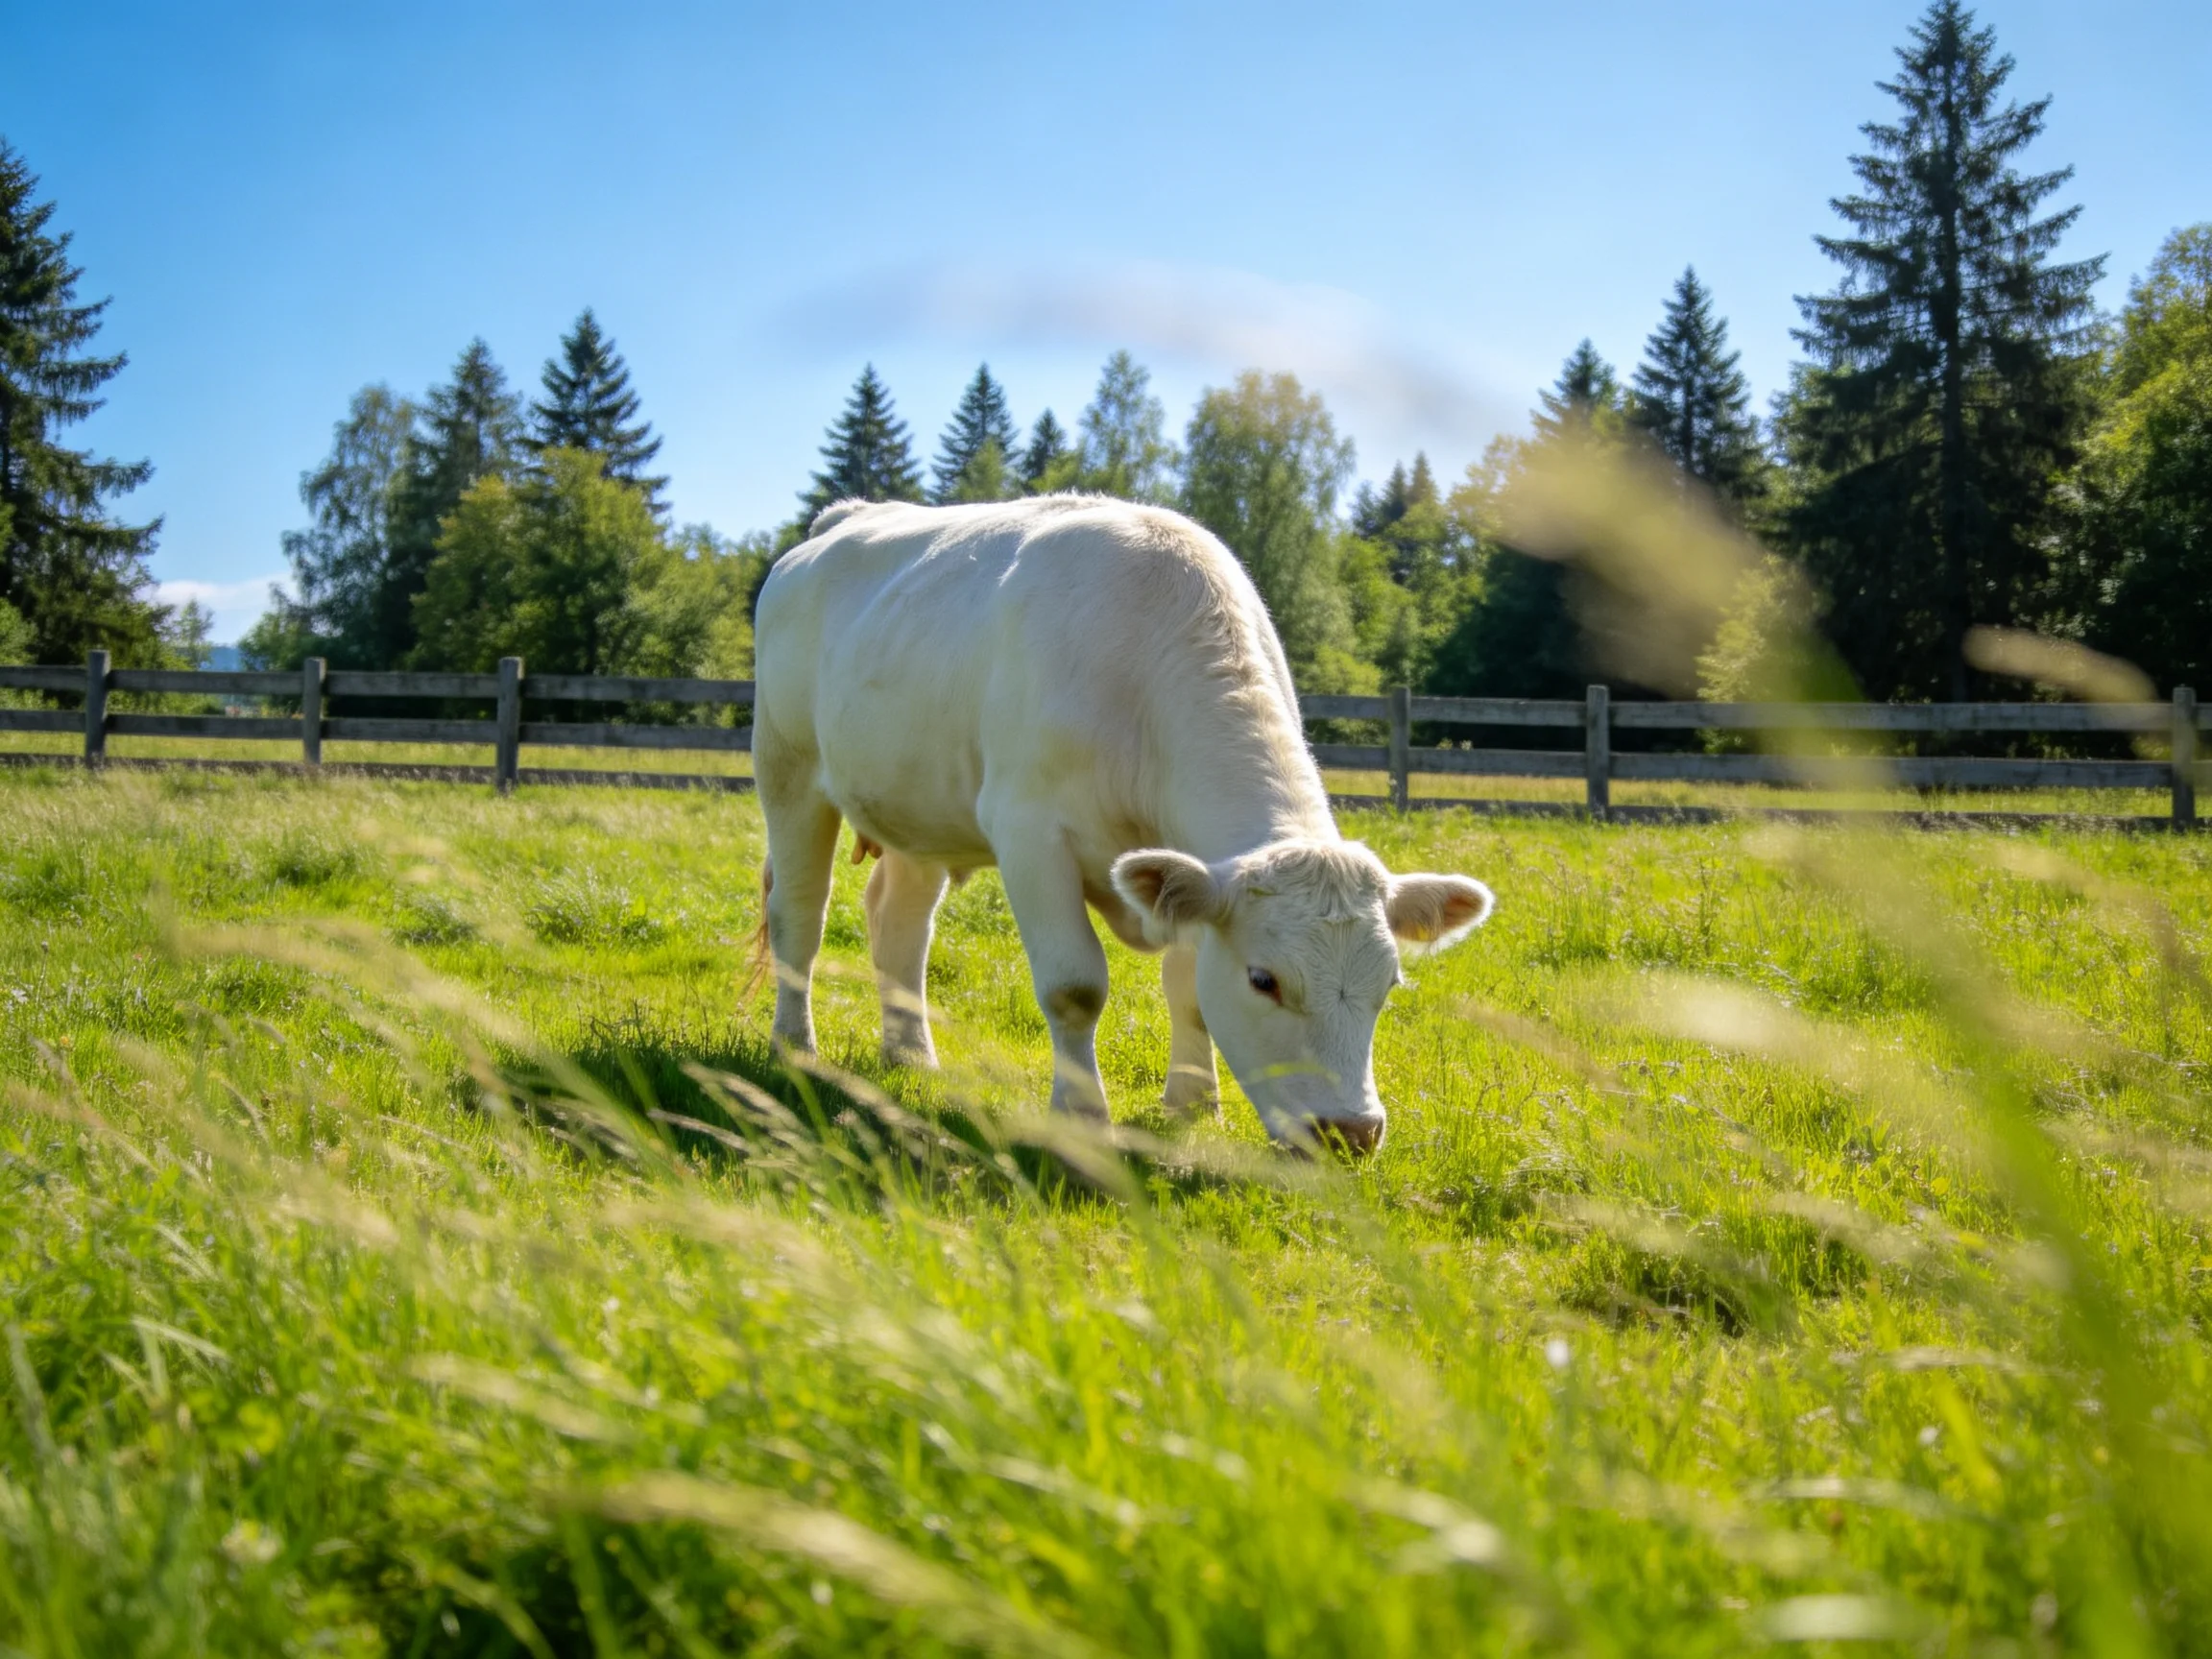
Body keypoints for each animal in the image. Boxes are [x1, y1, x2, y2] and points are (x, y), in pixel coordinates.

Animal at [750, 495, 1492, 1154]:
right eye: (1264, 980)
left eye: (1389, 984)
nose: (1351, 1133)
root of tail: (845, 517)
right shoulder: (1029, 833)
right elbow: (1074, 987)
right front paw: (1081, 1117)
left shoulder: (1193, 874)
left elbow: (1188, 993)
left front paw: (1194, 1106)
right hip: (788, 770)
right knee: (801, 915)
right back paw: (796, 1046)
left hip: (917, 808)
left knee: (900, 926)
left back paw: (910, 1057)